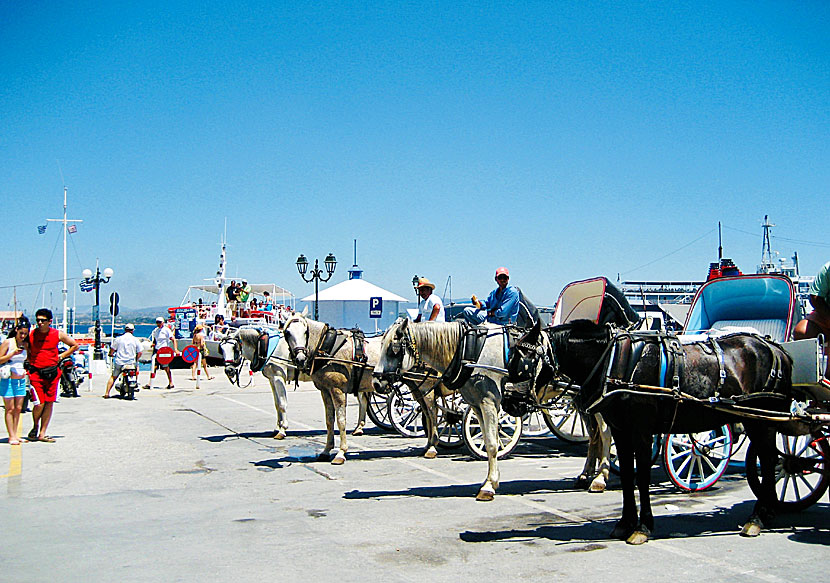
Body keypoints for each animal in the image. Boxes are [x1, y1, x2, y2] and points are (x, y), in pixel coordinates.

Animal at [520, 322, 800, 544]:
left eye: (524, 362)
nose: (513, 404)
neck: (615, 361)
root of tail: (777, 349)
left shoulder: (642, 431)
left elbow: (642, 476)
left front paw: (642, 527)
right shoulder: (622, 431)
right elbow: (627, 476)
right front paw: (625, 523)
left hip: (761, 421)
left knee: (768, 460)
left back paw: (757, 517)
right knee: (769, 459)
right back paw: (768, 511)